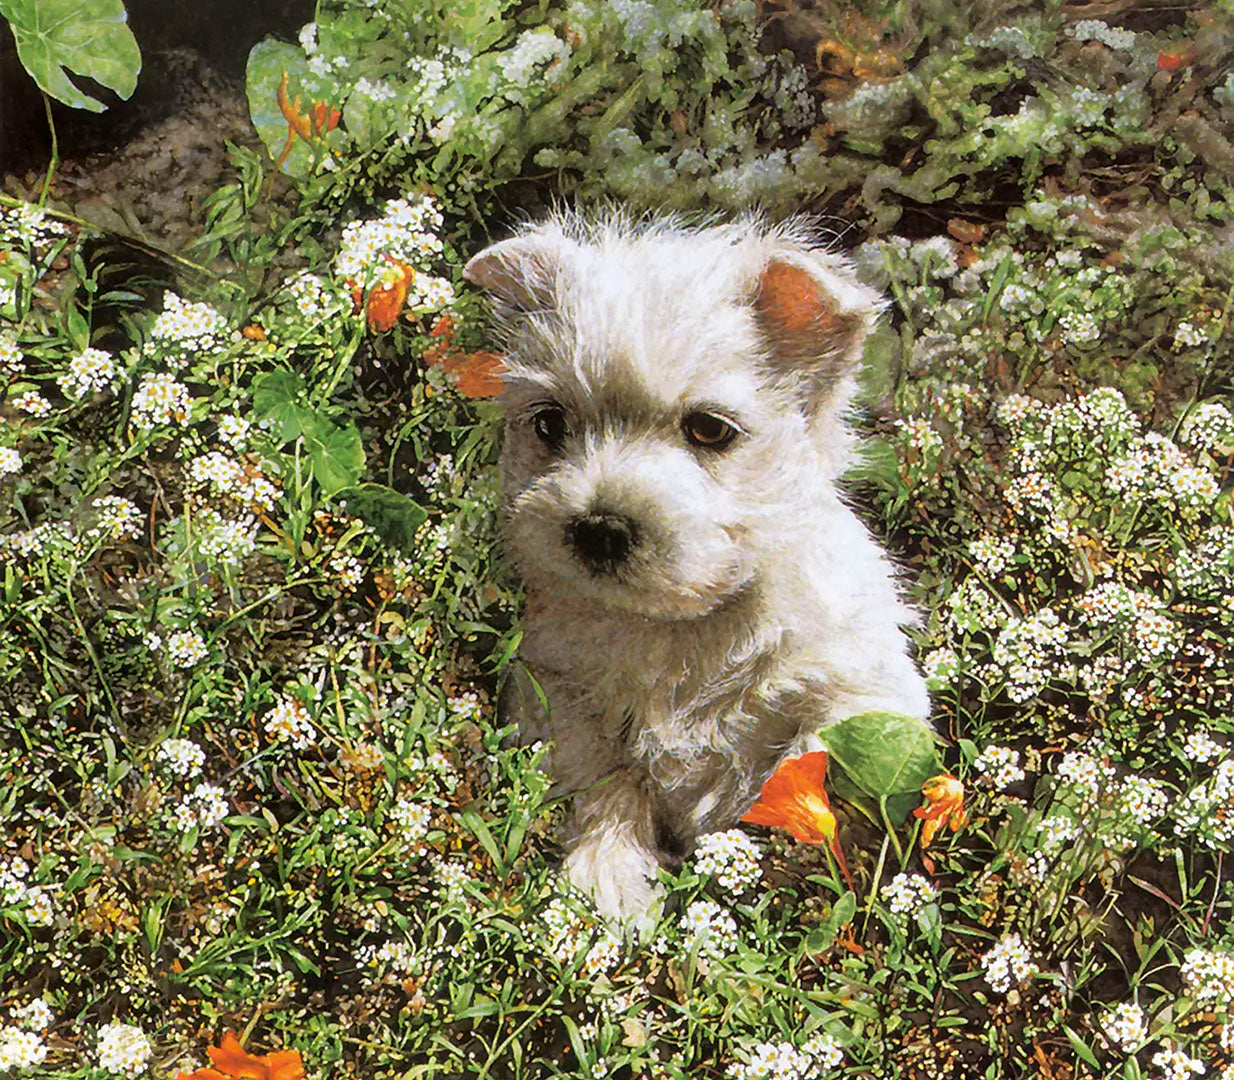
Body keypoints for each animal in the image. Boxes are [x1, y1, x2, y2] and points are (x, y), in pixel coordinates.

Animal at [463, 211, 930, 921]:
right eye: (550, 424)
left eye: (710, 429)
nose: (598, 528)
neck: (681, 627)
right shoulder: (558, 694)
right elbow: (606, 778)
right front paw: (610, 878)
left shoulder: (861, 689)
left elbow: (805, 761)